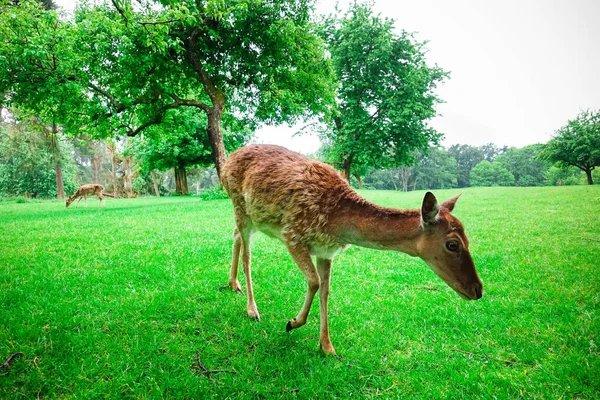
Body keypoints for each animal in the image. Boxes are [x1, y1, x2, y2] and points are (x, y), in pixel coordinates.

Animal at [220, 145, 482, 356]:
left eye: (468, 238)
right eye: (452, 244)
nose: (478, 290)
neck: (338, 224)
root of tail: (225, 164)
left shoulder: (326, 251)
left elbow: (325, 290)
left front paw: (327, 346)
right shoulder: (292, 234)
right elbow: (314, 282)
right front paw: (292, 323)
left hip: (249, 217)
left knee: (235, 235)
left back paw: (233, 284)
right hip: (239, 205)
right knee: (247, 254)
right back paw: (252, 309)